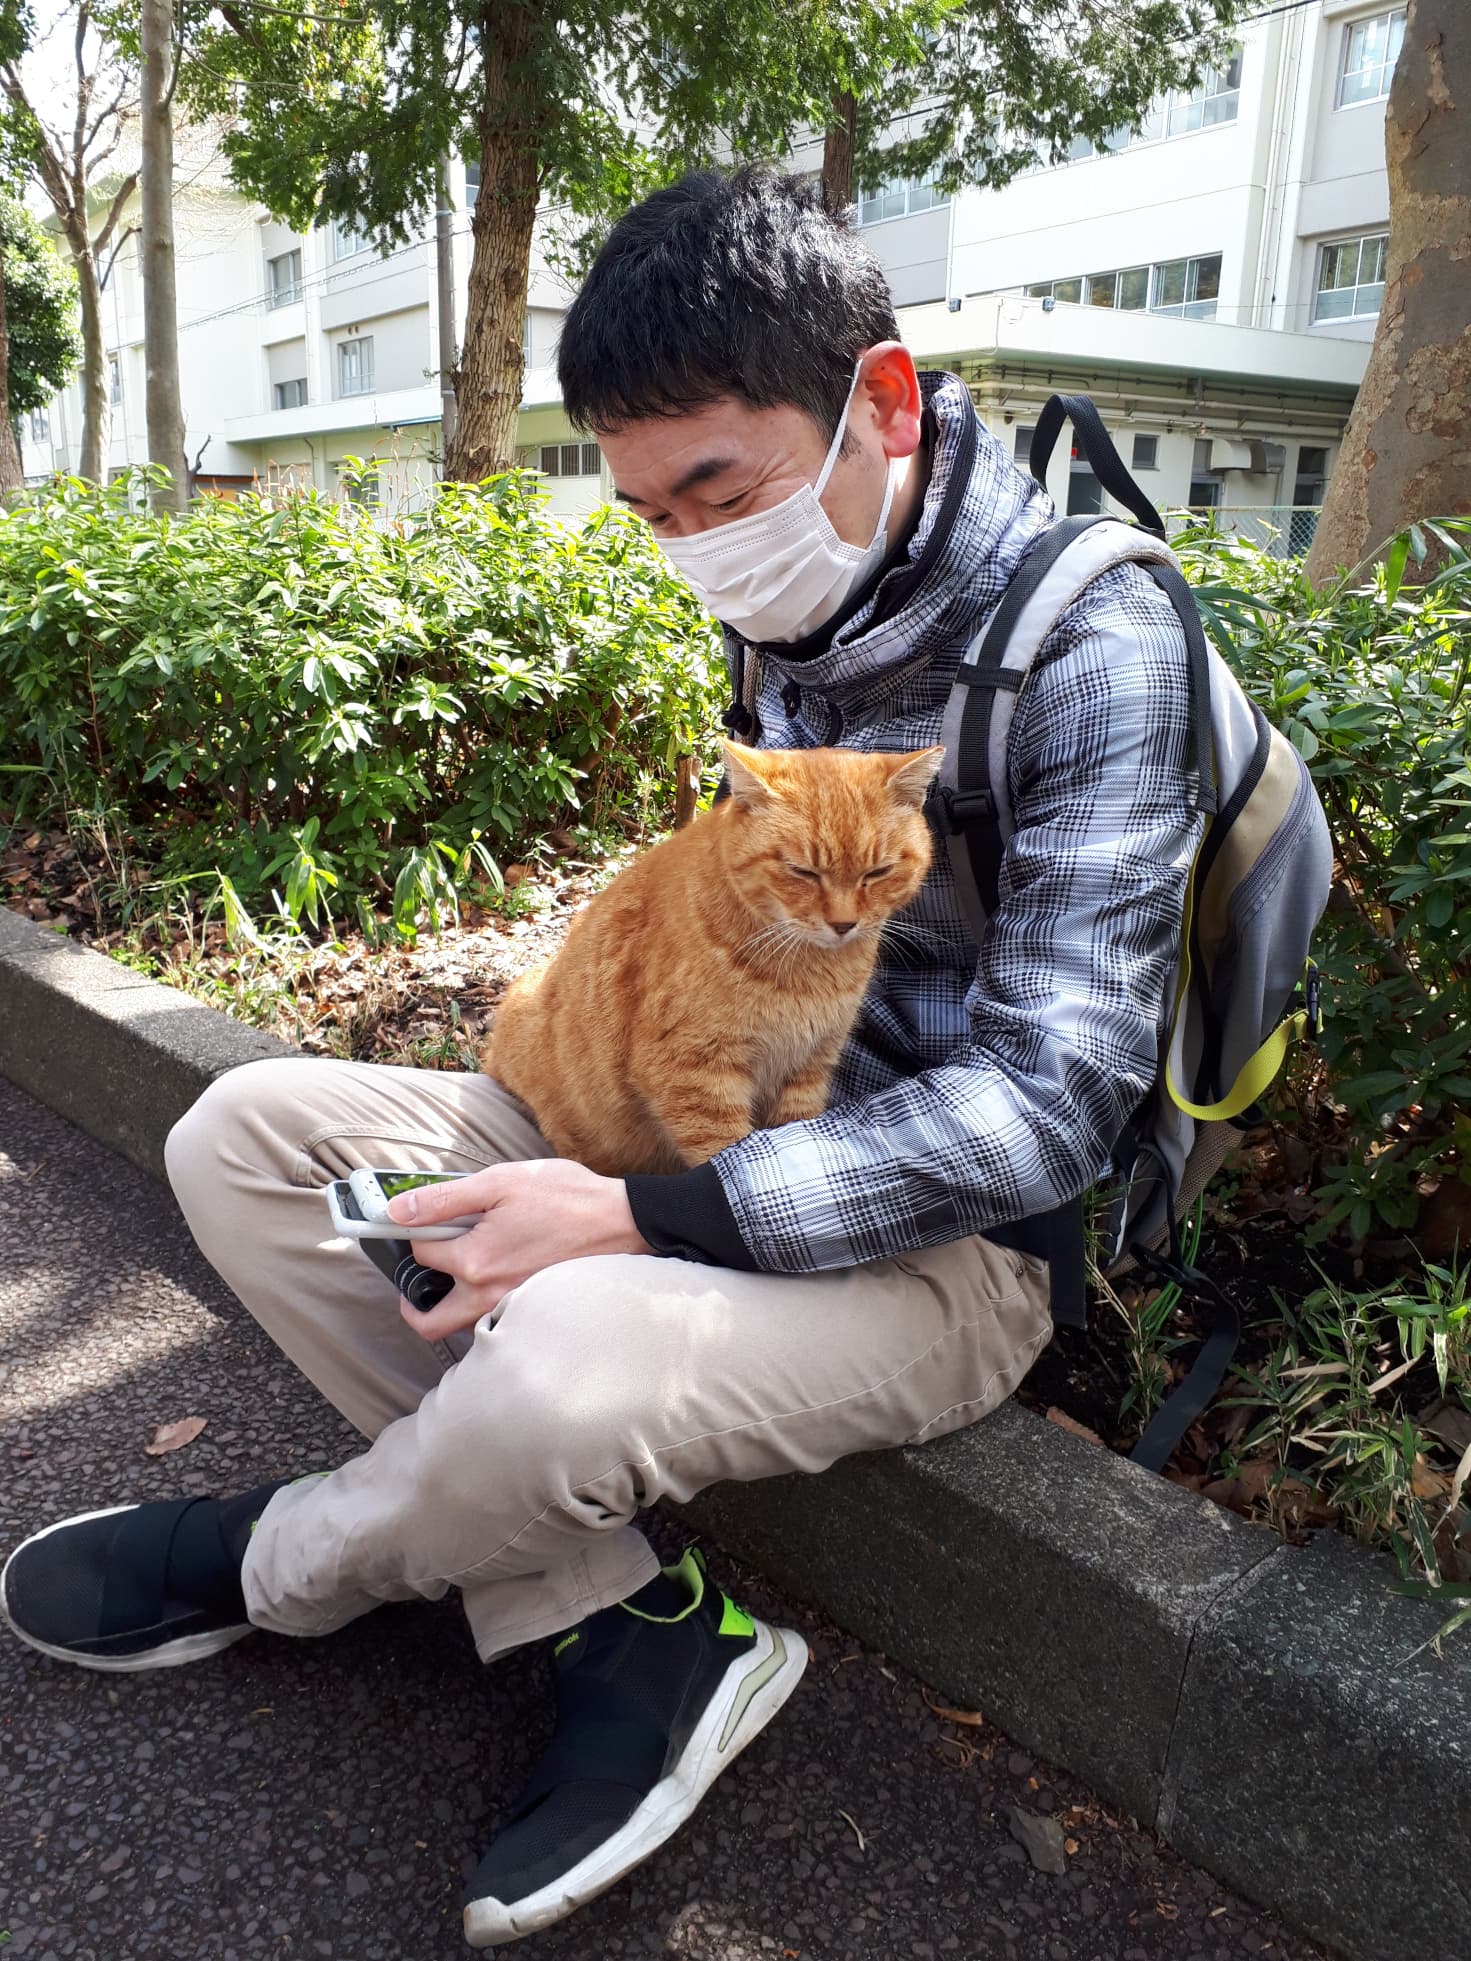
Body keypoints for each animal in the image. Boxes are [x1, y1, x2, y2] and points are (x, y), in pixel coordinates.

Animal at [484, 741, 945, 1168]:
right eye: (803, 872)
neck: (811, 972)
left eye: (878, 873)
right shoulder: (695, 1075)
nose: (844, 923)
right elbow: (730, 1154)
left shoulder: (810, 1068)